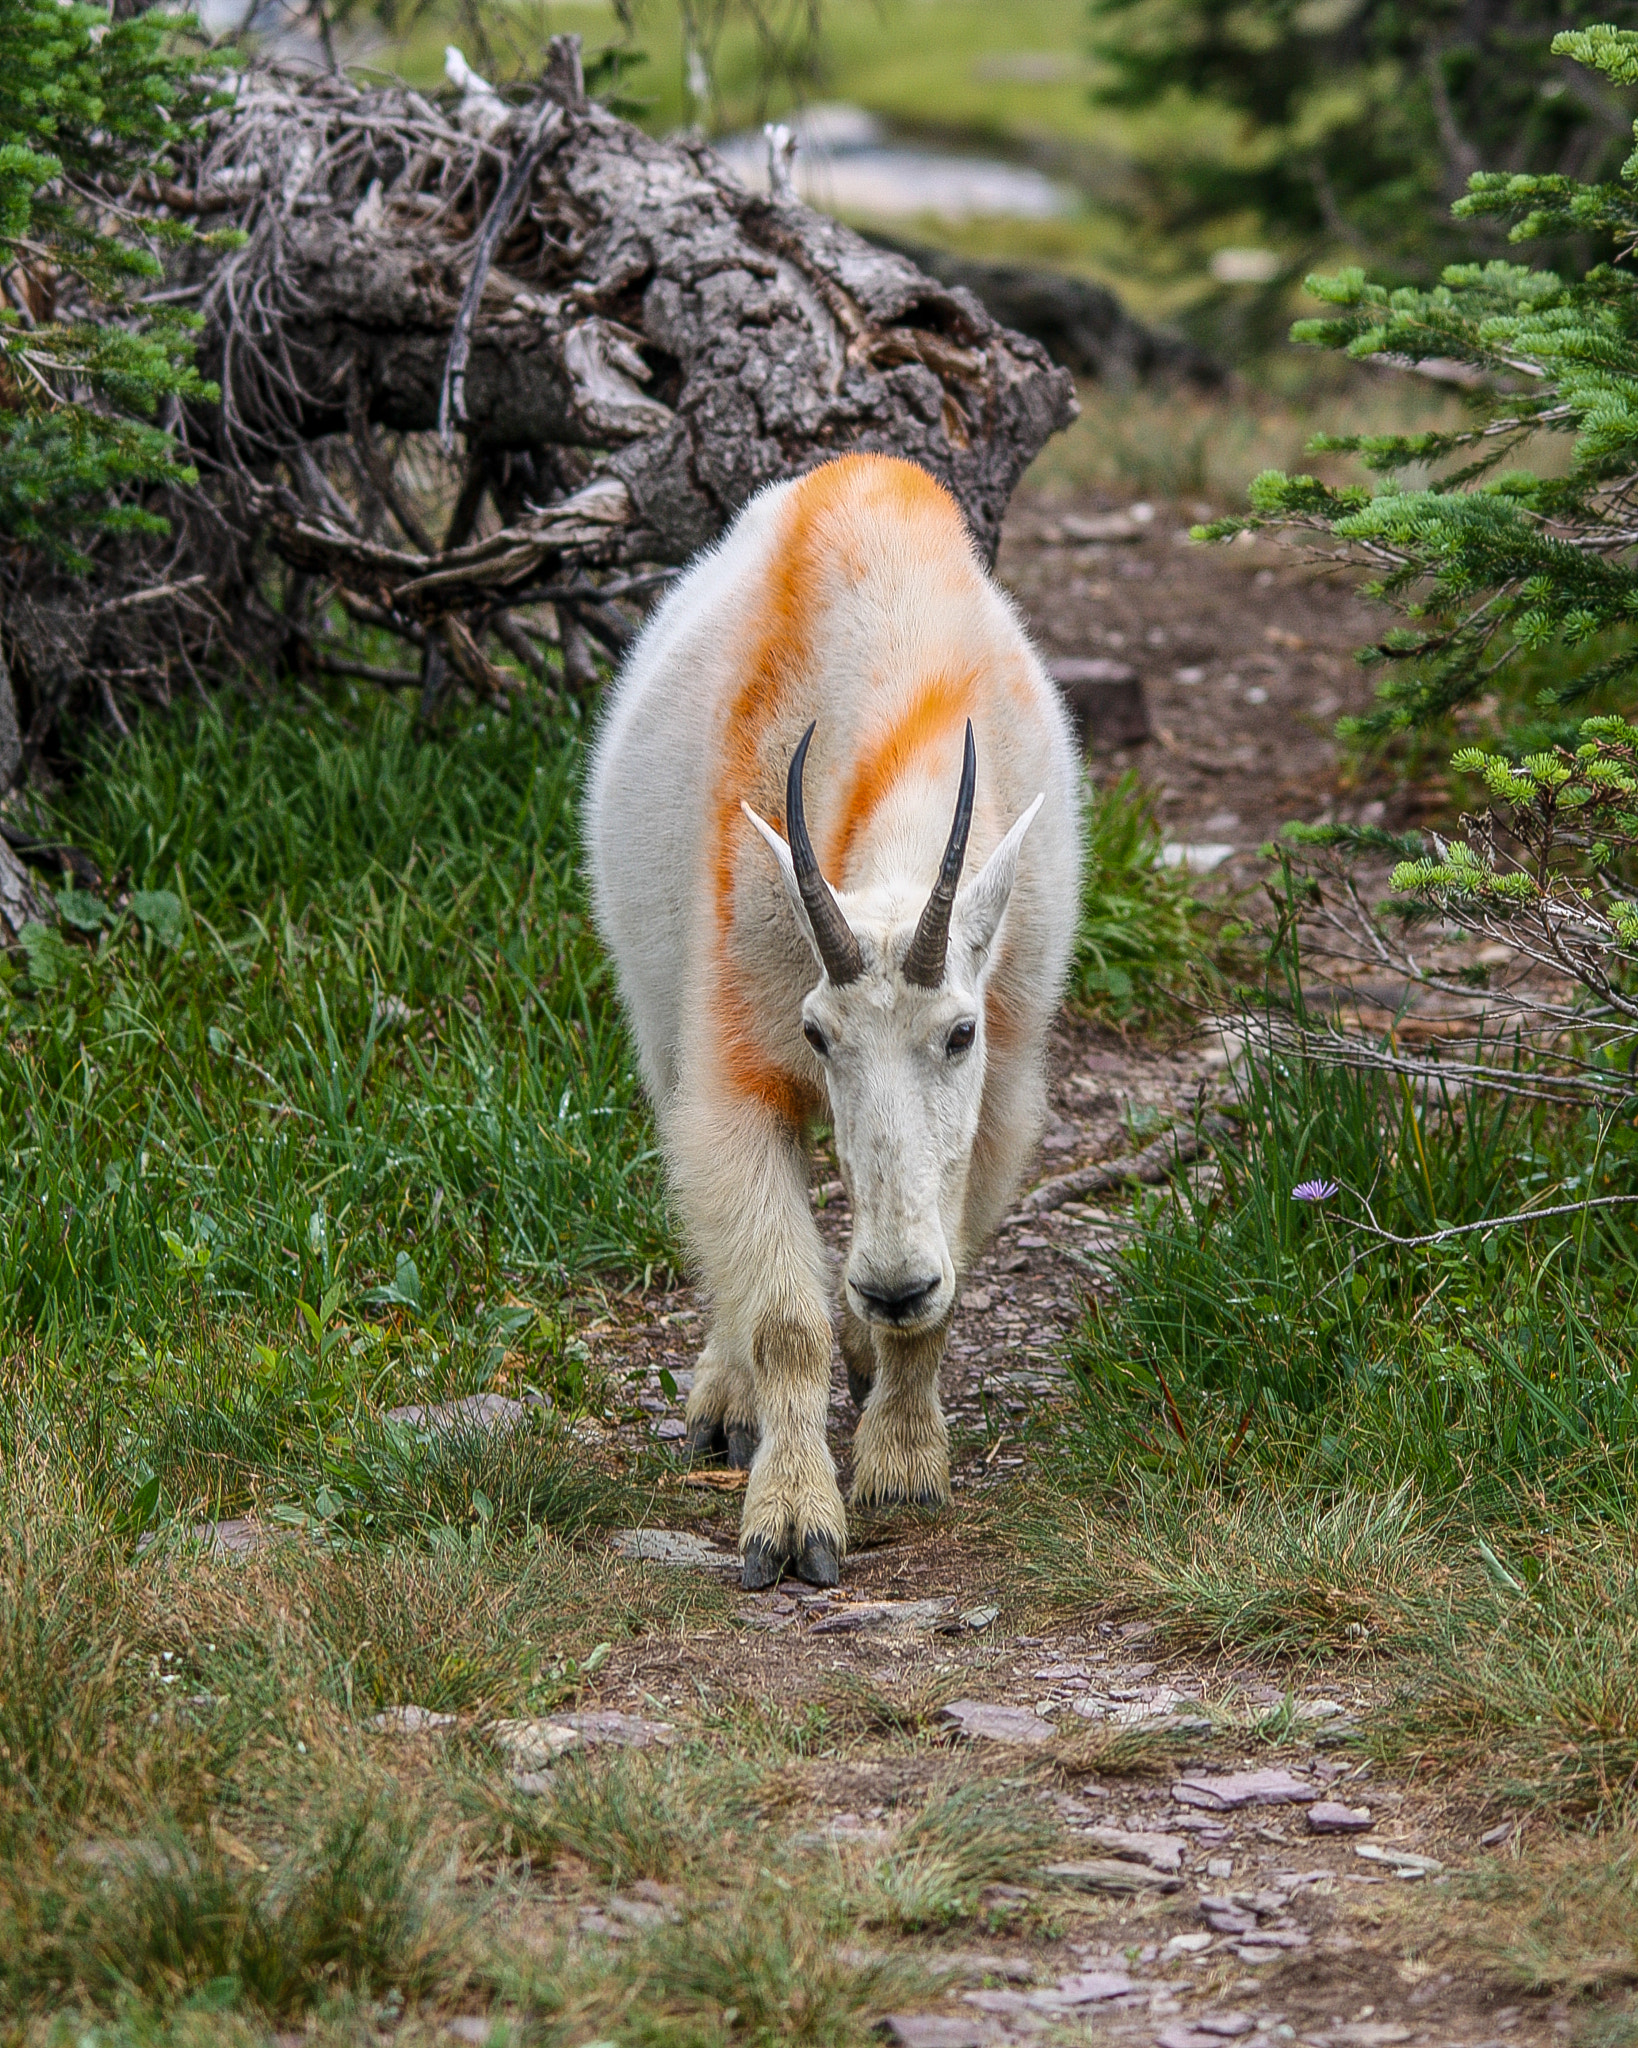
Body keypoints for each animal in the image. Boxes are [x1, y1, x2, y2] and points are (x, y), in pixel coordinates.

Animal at [586, 453, 1081, 1588]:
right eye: (819, 1036)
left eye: (959, 1033)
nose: (892, 1285)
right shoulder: (735, 1063)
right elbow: (783, 1318)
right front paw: (791, 1519)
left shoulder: (1003, 1088)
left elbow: (946, 1274)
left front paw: (901, 1461)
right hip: (656, 1010)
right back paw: (728, 1401)